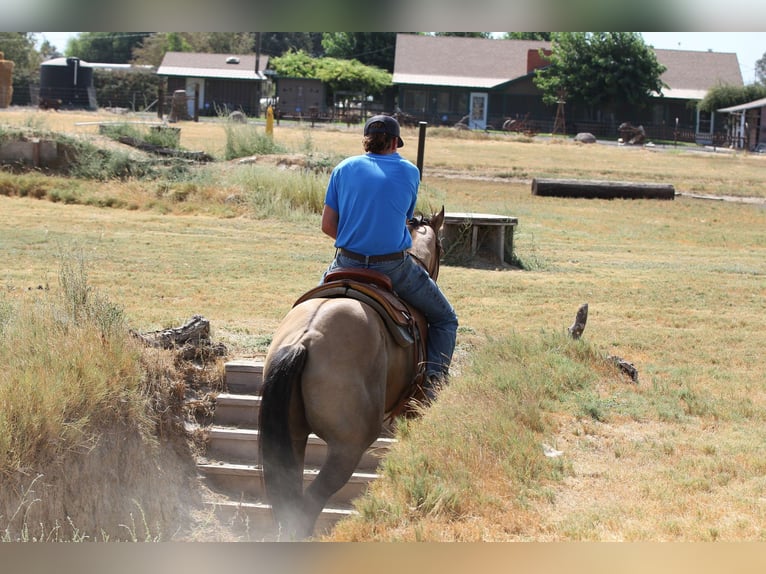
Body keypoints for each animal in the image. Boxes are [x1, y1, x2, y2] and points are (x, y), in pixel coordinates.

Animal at [258, 209, 444, 544]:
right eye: (442, 248)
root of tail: (304, 340)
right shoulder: (413, 405)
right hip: (348, 448)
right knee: (309, 503)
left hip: (291, 437)